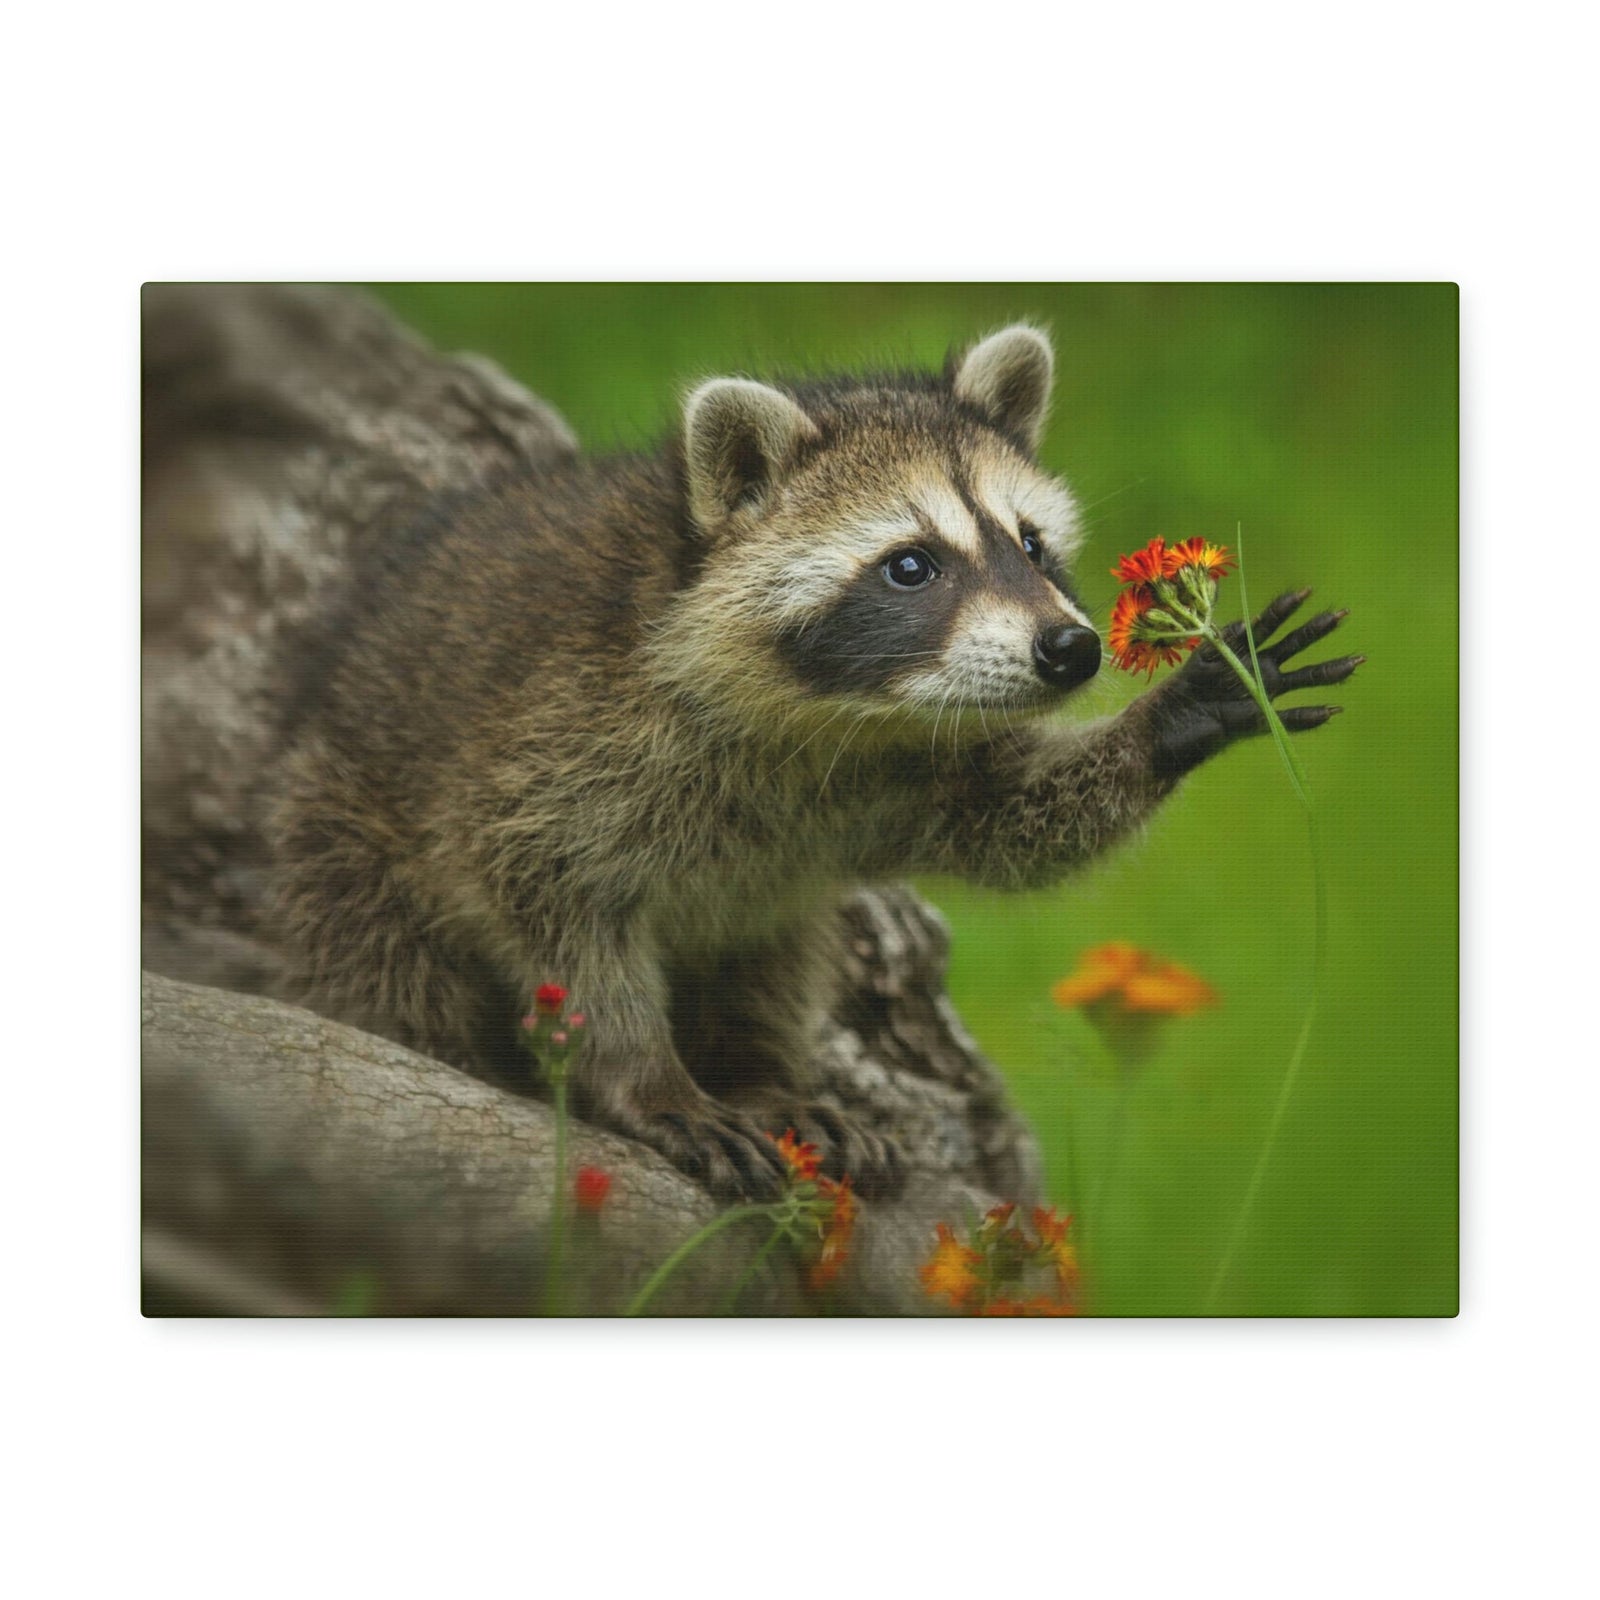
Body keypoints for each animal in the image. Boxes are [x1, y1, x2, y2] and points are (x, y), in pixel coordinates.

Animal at [274, 325, 1358, 1199]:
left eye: (1031, 546)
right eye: (911, 565)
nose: (1071, 651)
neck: (832, 718)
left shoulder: (901, 770)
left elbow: (1014, 818)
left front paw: (1174, 716)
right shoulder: (549, 749)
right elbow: (558, 918)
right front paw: (645, 1077)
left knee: (774, 949)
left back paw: (759, 1070)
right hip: (339, 840)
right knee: (392, 974)